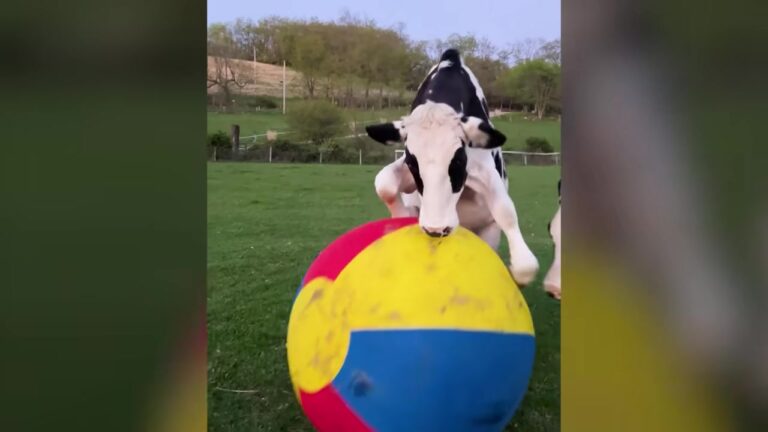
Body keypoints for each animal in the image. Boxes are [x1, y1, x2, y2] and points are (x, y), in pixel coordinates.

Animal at [365, 48, 539, 286]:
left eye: (458, 161)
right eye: (412, 163)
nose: (436, 229)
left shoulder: (483, 168)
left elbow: (505, 211)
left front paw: (520, 267)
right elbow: (384, 182)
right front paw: (403, 214)